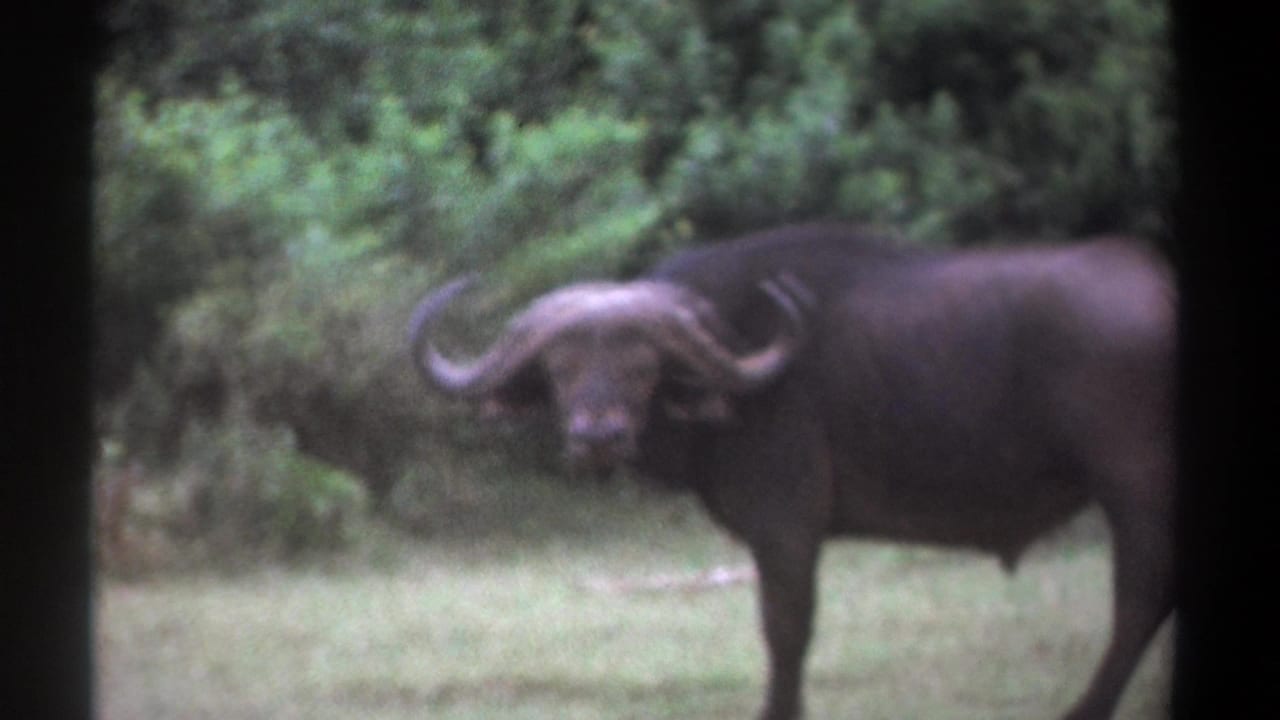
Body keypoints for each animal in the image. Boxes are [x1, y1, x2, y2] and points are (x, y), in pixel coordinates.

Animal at [408, 224, 1176, 720]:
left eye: (642, 366)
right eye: (561, 368)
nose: (598, 434)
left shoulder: (786, 527)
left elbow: (785, 630)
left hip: (1136, 490)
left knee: (1139, 603)